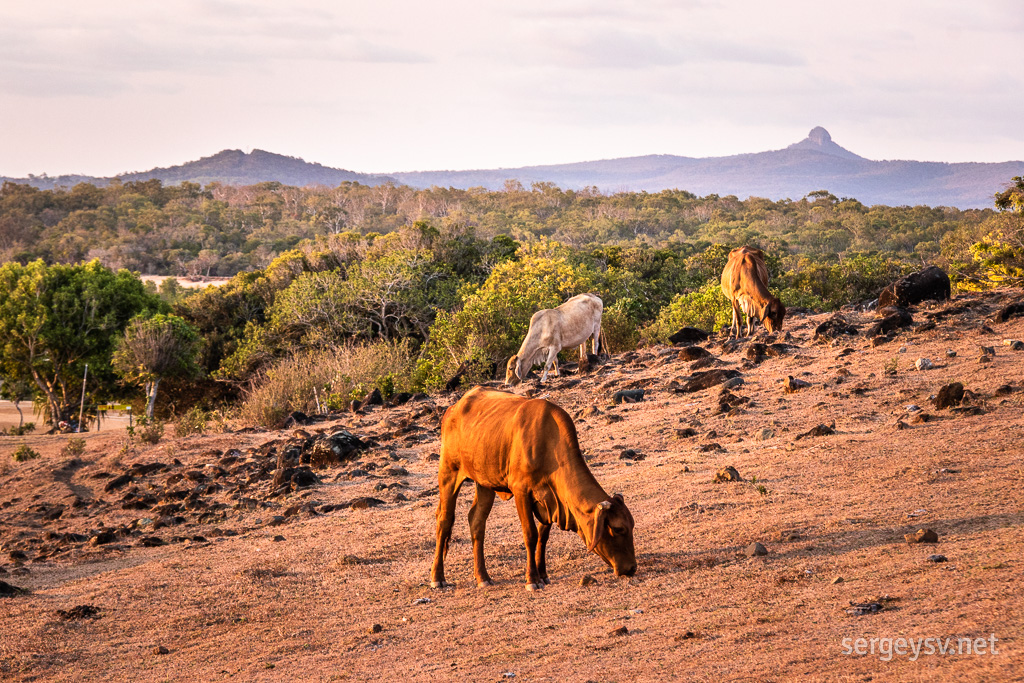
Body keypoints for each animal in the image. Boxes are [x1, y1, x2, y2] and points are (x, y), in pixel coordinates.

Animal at [428, 387, 634, 589]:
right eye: (617, 529)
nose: (631, 568)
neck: (549, 443)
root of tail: (454, 408)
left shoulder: (550, 500)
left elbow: (543, 537)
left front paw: (543, 575)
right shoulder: (521, 491)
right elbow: (531, 534)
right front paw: (532, 579)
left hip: (485, 482)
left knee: (477, 522)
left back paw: (482, 577)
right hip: (449, 472)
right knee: (444, 520)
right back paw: (437, 577)